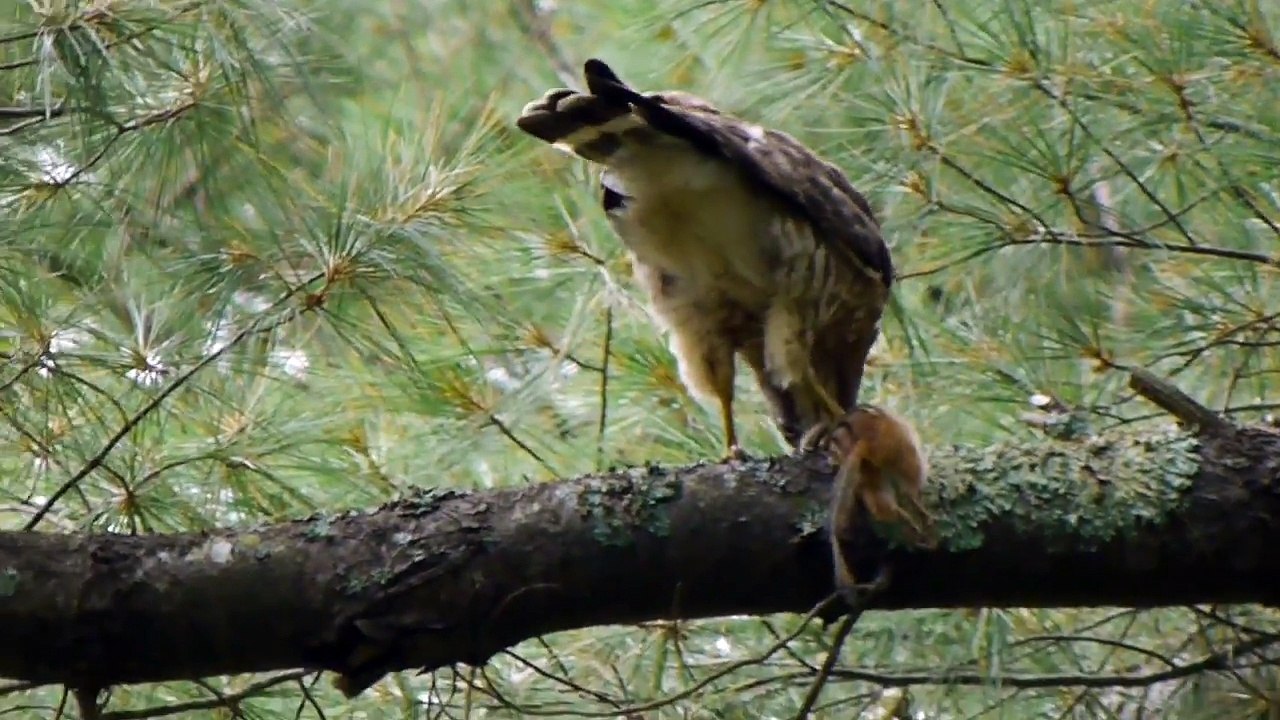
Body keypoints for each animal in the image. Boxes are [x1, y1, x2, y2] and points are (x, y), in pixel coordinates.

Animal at [824, 405, 935, 604]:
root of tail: (865, 441)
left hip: (869, 476)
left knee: (882, 508)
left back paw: (912, 528)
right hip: (900, 450)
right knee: (909, 488)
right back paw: (921, 515)